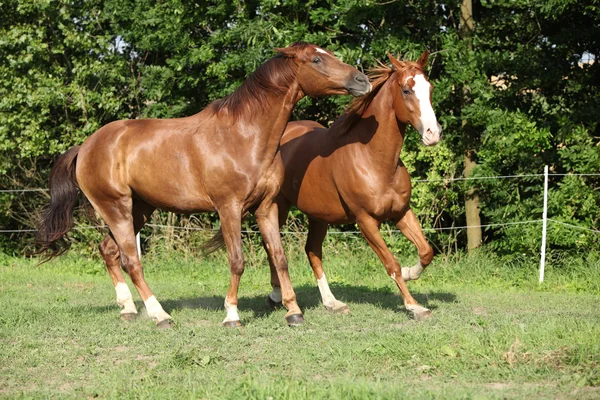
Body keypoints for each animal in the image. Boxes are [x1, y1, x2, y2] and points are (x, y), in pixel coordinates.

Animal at [37, 41, 370, 328]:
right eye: (316, 60)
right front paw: (232, 314)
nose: (362, 80)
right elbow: (237, 261)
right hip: (116, 209)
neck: (244, 136)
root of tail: (86, 146)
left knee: (108, 250)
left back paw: (128, 309)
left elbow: (279, 257)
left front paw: (293, 311)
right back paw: (160, 315)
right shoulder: (229, 208)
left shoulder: (266, 208)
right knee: (131, 260)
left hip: (138, 210)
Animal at [268, 51, 440, 320]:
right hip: (279, 208)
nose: (433, 134)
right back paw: (278, 296)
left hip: (319, 216)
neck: (374, 159)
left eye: (429, 88)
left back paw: (332, 303)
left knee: (312, 251)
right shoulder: (366, 221)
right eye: (406, 90)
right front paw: (413, 305)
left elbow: (426, 251)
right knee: (272, 248)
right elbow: (391, 263)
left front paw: (411, 273)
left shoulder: (401, 212)